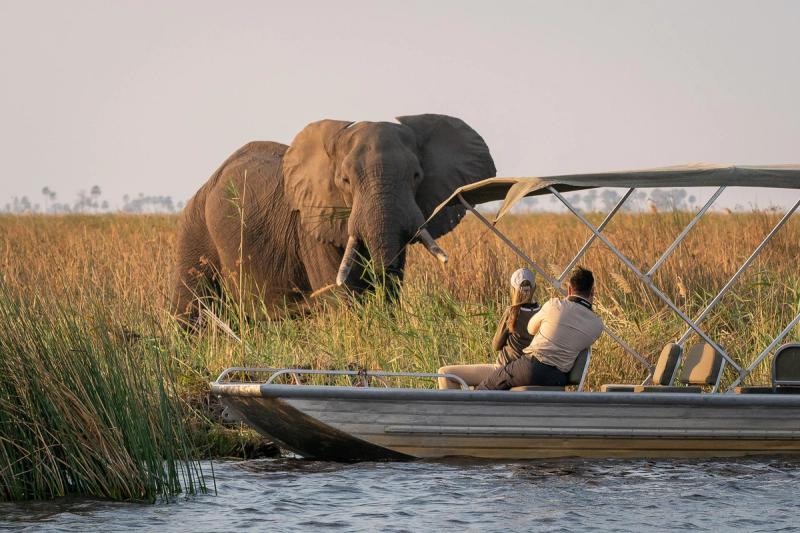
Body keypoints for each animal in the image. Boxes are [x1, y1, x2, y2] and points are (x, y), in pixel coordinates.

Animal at [171, 114, 496, 324]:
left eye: (417, 176)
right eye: (345, 180)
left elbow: (392, 285)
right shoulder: (310, 226)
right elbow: (342, 295)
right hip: (195, 226)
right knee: (192, 311)